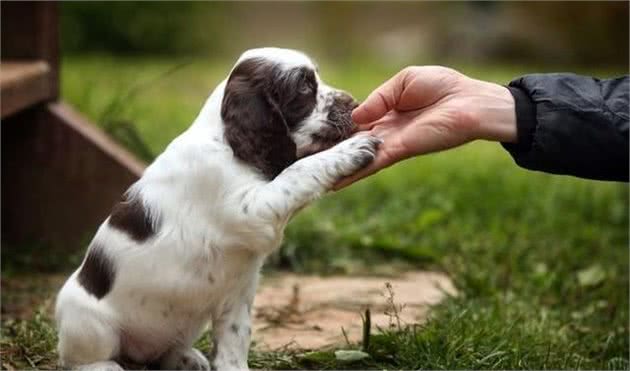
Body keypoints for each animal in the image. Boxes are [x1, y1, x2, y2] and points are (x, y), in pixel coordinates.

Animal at [55, 48, 380, 370]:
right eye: (303, 87)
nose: (354, 104)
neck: (226, 142)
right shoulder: (251, 209)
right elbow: (297, 172)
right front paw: (350, 151)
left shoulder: (237, 295)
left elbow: (234, 344)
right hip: (87, 322)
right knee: (82, 358)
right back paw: (107, 366)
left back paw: (186, 358)